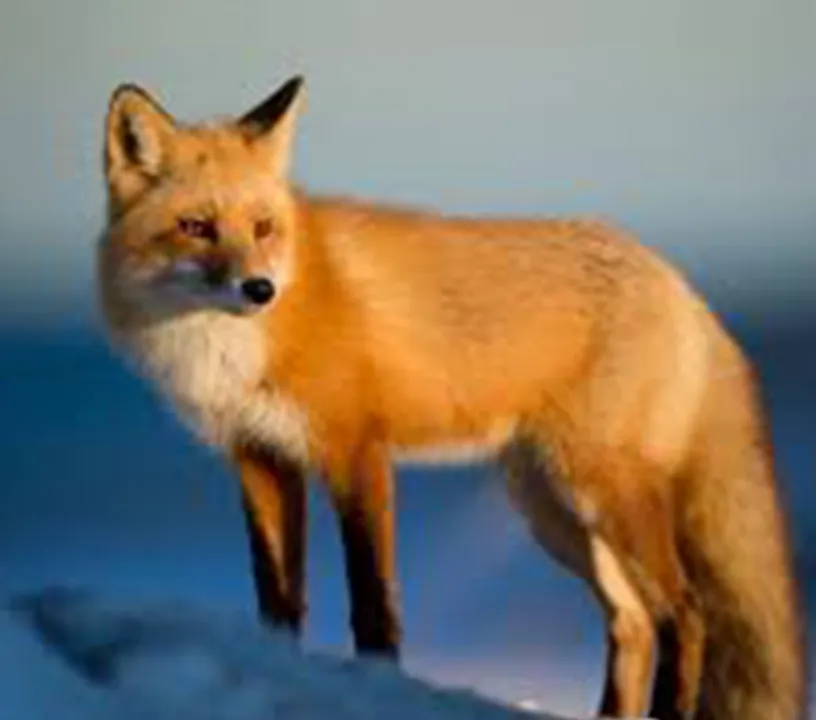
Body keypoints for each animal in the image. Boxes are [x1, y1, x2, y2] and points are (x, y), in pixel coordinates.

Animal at [96, 75, 806, 720]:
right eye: (196, 227)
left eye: (263, 227)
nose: (259, 289)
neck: (233, 345)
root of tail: (679, 282)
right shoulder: (260, 459)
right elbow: (278, 599)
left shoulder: (356, 451)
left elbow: (372, 601)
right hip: (553, 511)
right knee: (632, 622)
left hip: (602, 490)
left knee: (686, 613)